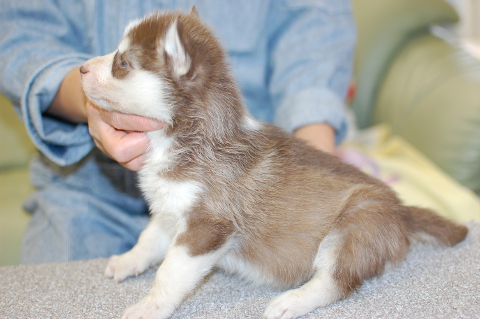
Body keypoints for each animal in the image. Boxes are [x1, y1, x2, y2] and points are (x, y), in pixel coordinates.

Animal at [80, 7, 466, 319]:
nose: (81, 68)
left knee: (337, 281)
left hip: (355, 226)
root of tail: (401, 209)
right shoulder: (170, 211)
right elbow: (148, 239)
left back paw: (291, 301)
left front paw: (149, 306)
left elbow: (170, 273)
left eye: (122, 63)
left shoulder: (206, 227)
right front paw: (127, 260)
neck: (184, 138)